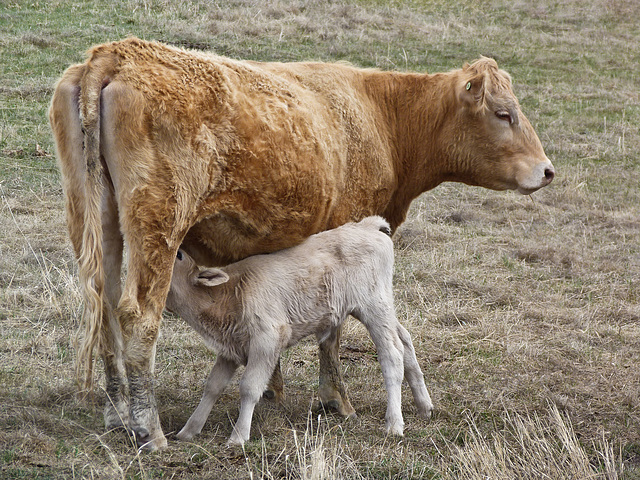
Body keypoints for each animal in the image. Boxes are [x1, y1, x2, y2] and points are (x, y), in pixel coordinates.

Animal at [166, 216, 436, 444]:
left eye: (179, 255)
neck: (228, 293)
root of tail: (367, 225)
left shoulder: (267, 339)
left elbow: (249, 387)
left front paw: (238, 437)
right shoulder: (230, 348)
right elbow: (212, 386)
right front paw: (188, 430)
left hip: (374, 307)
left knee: (392, 353)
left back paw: (394, 423)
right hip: (382, 307)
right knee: (404, 339)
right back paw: (424, 406)